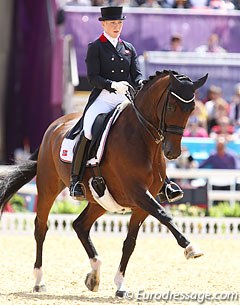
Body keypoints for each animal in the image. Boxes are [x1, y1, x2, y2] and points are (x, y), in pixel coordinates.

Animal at [0, 70, 207, 294]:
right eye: (170, 107)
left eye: (191, 109)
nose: (173, 153)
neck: (141, 138)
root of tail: (55, 125)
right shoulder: (138, 193)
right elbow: (165, 215)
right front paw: (191, 247)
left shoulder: (142, 202)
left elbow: (130, 242)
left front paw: (120, 284)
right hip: (48, 186)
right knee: (41, 227)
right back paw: (39, 280)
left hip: (102, 199)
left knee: (80, 225)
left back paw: (94, 274)